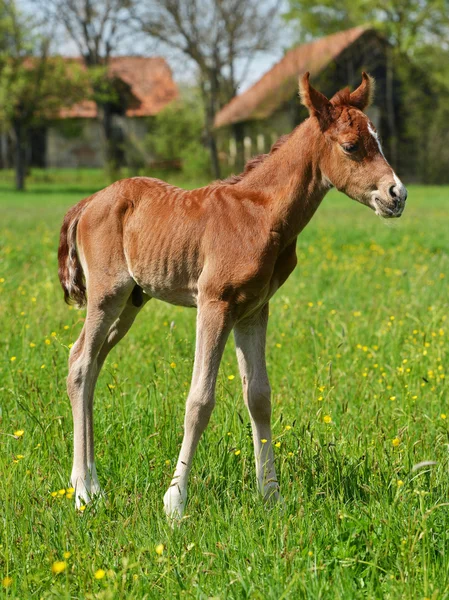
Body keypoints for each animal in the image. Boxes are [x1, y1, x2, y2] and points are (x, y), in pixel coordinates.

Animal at [57, 72, 404, 516]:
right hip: (107, 295)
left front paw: (271, 495)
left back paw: (90, 483)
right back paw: (85, 490)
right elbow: (199, 401)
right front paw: (175, 502)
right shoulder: (214, 303)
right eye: (351, 145)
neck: (261, 215)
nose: (397, 194)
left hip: (132, 301)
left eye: (377, 139)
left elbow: (259, 396)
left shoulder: (253, 310)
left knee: (88, 361)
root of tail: (88, 202)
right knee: (82, 363)